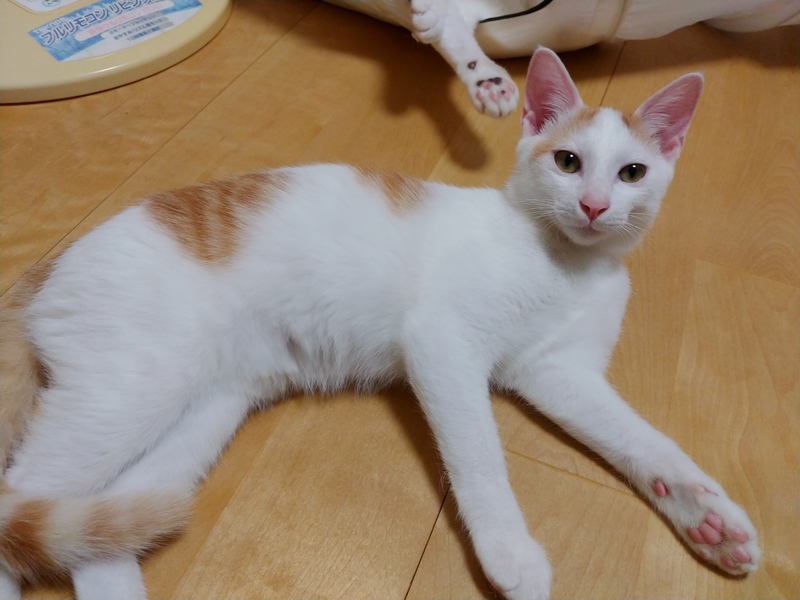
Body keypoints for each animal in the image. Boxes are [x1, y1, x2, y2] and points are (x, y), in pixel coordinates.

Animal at [0, 48, 760, 600]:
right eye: (567, 161)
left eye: (632, 173)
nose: (597, 206)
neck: (570, 264)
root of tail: (50, 264)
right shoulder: (441, 342)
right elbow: (480, 454)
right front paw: (509, 553)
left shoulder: (558, 370)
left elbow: (643, 439)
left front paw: (706, 515)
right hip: (128, 389)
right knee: (19, 496)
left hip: (199, 411)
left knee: (97, 535)